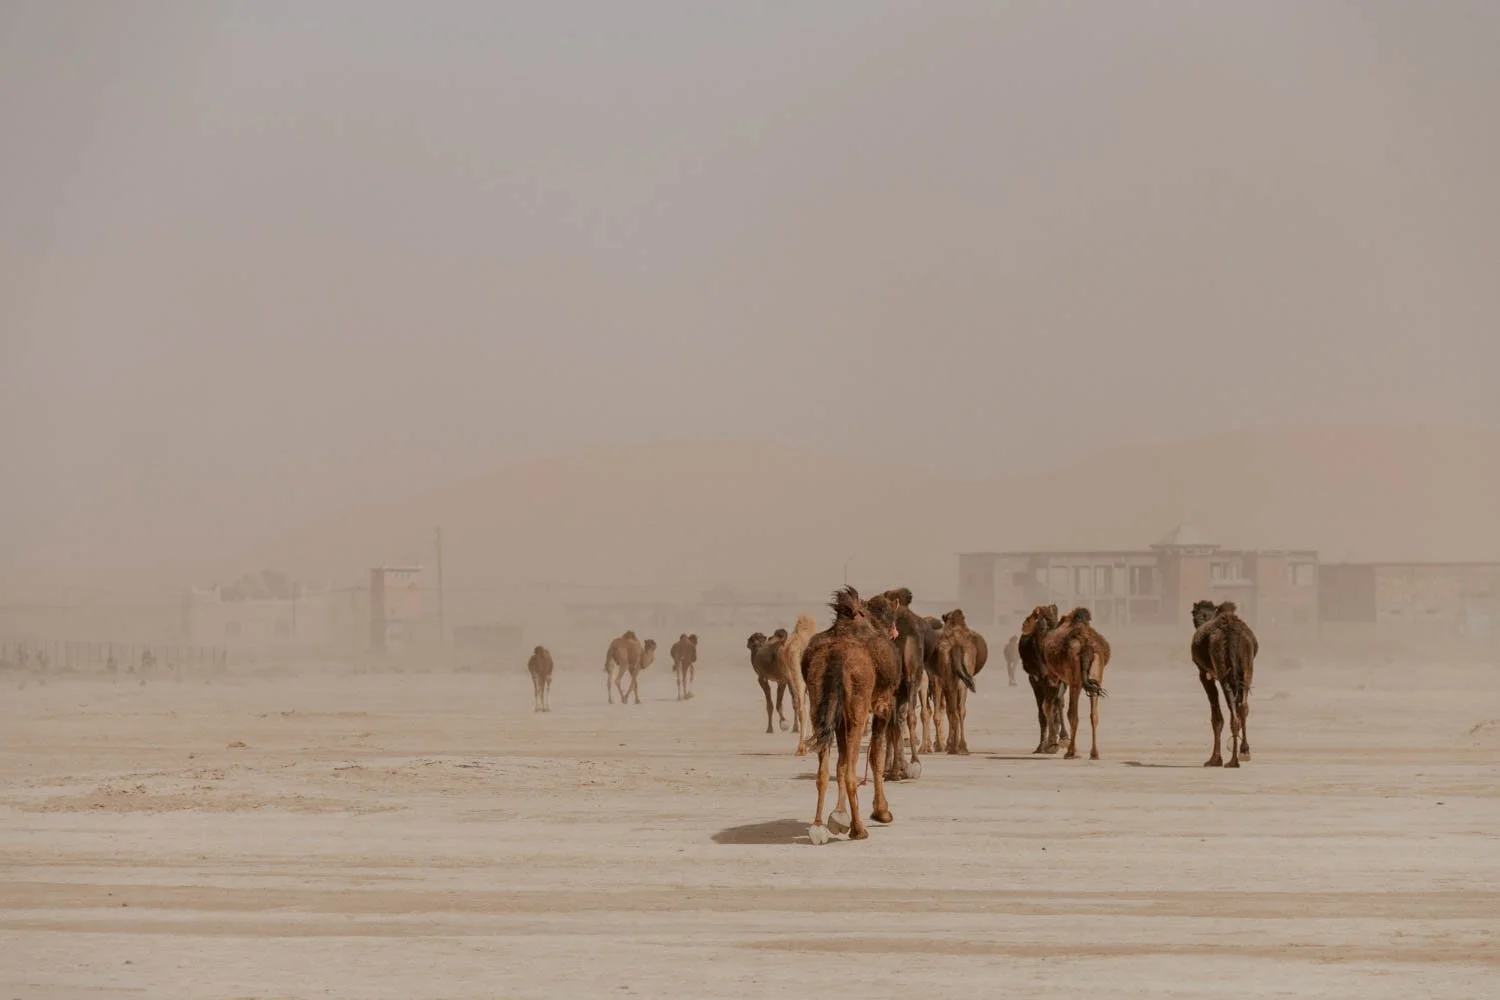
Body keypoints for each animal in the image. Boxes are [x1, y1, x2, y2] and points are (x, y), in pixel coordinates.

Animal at [802, 586, 901, 844]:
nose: (895, 632)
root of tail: (836, 655)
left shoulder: (838, 714)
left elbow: (840, 762)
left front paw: (838, 817)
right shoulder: (883, 704)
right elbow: (875, 757)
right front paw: (882, 812)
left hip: (819, 702)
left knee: (824, 768)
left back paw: (818, 827)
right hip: (859, 700)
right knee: (850, 771)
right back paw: (859, 830)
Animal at [1018, 605, 1068, 754]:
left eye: (1056, 625)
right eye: (1040, 625)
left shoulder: (1059, 680)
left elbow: (1056, 704)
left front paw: (1061, 739)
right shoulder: (1035, 680)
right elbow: (1042, 711)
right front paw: (1043, 745)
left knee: (1057, 703)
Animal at [1025, 605, 1111, 760]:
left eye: (1034, 617)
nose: (1025, 625)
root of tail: (1086, 645)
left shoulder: (1052, 676)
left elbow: (1047, 706)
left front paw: (1053, 744)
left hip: (1074, 680)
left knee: (1072, 714)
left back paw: (1070, 752)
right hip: (1095, 677)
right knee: (1094, 715)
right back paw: (1094, 753)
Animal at [1190, 599, 1258, 767]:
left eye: (1193, 613)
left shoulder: (1204, 674)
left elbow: (1216, 718)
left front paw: (1214, 759)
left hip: (1222, 670)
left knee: (1232, 709)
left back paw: (1233, 761)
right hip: (1246, 668)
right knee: (1243, 707)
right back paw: (1243, 752)